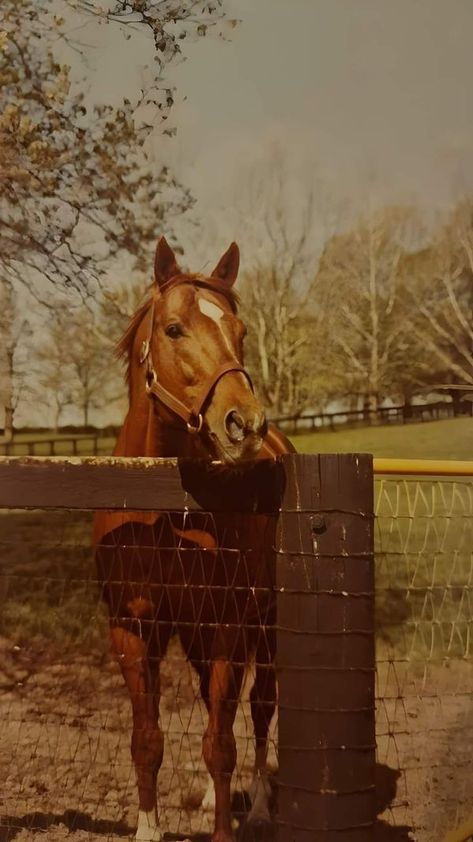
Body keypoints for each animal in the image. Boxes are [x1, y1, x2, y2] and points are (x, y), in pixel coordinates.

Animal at [93, 236, 294, 840]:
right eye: (174, 328)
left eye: (241, 330)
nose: (243, 424)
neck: (162, 510)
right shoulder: (134, 631)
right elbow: (147, 742)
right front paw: (148, 828)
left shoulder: (229, 625)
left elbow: (221, 745)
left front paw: (229, 825)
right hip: (200, 637)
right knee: (212, 702)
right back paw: (209, 800)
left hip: (263, 626)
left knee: (260, 709)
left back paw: (259, 806)